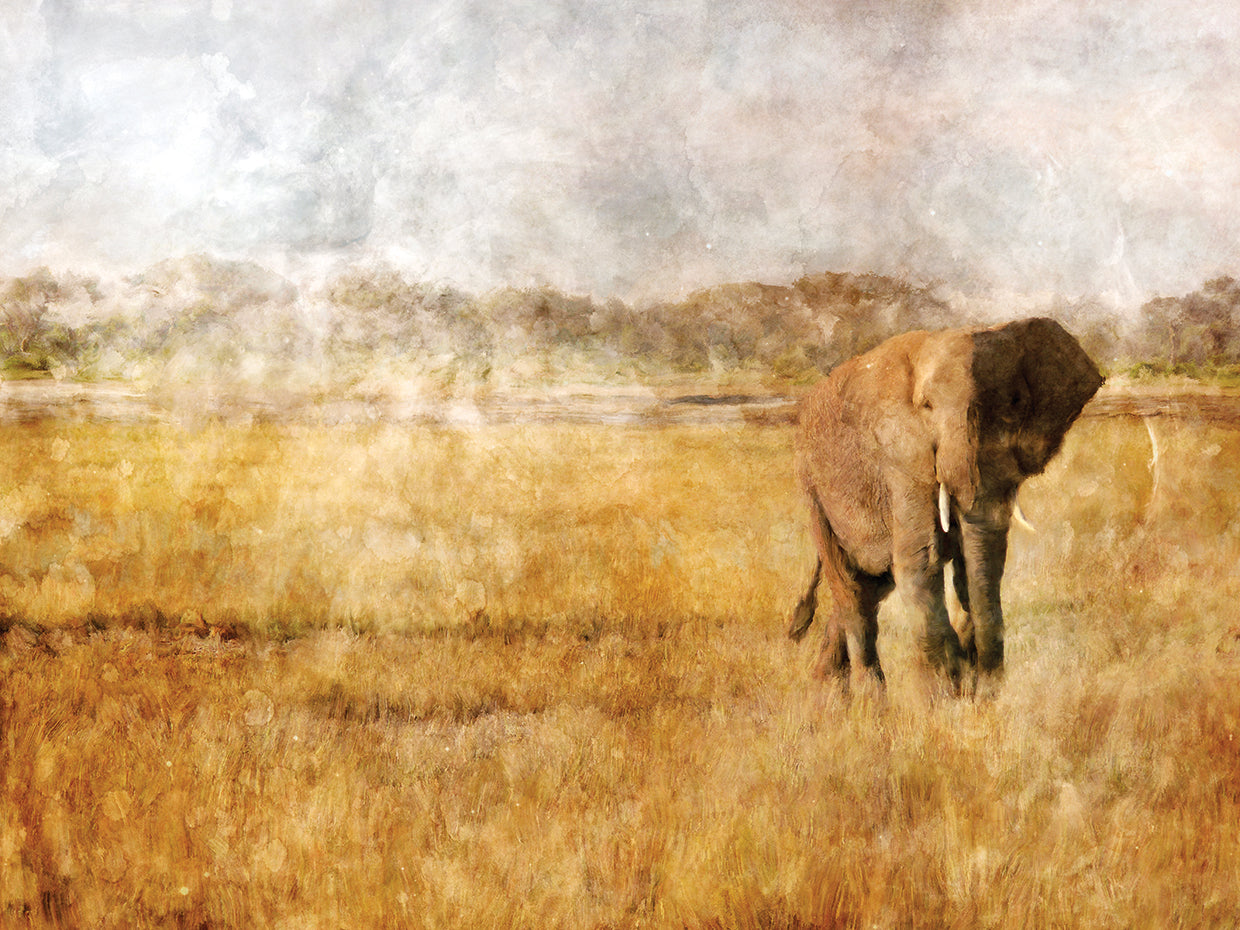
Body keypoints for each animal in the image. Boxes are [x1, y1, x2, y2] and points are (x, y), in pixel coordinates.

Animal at [788, 317, 1103, 694]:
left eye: (1014, 403)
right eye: (926, 406)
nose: (985, 689)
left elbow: (980, 561)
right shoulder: (901, 458)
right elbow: (920, 559)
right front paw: (945, 693)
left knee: (870, 586)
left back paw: (826, 688)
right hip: (812, 486)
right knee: (848, 584)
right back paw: (868, 698)